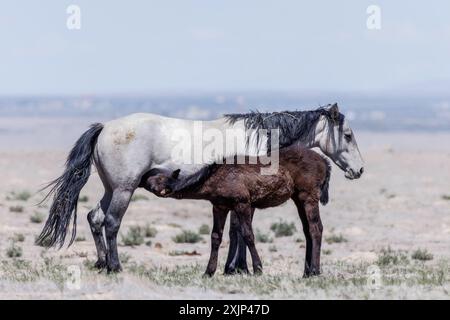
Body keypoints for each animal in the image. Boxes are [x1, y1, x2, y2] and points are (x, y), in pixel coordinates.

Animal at [37, 103, 364, 272]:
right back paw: (115, 266)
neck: (256, 138)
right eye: (348, 135)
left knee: (95, 218)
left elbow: (233, 231)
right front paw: (237, 268)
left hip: (110, 189)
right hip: (123, 191)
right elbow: (238, 231)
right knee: (111, 223)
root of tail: (105, 127)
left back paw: (101, 262)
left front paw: (234, 268)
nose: (359, 170)